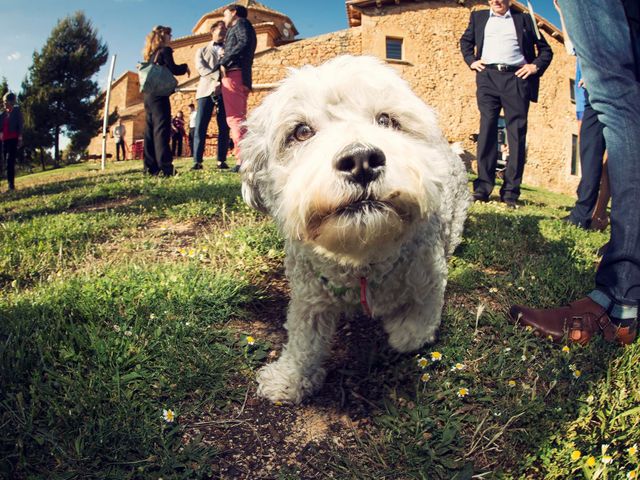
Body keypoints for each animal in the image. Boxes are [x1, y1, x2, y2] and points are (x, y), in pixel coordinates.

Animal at [240, 54, 470, 404]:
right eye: (301, 131)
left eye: (387, 120)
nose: (362, 159)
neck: (361, 258)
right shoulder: (309, 295)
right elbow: (304, 339)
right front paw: (291, 377)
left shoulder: (429, 274)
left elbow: (421, 317)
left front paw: (405, 330)